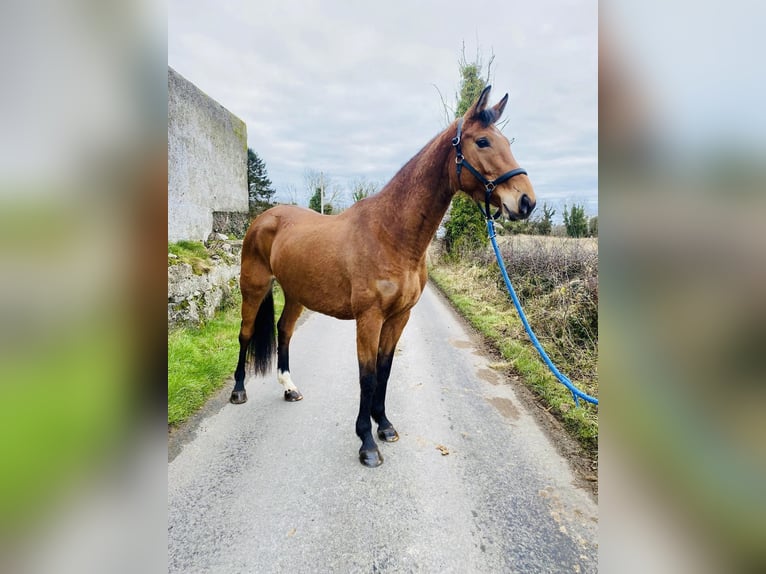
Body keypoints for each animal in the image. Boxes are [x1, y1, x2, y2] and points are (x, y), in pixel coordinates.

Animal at [231, 85, 536, 468]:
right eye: (482, 142)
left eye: (506, 141)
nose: (526, 202)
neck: (391, 234)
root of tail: (263, 218)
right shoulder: (369, 318)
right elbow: (367, 376)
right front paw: (366, 442)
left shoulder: (399, 317)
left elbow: (385, 370)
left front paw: (385, 425)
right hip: (254, 286)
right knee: (244, 334)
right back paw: (238, 390)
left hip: (297, 293)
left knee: (284, 331)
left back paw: (289, 388)